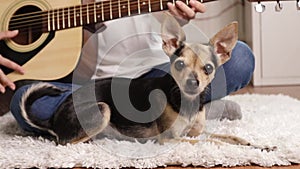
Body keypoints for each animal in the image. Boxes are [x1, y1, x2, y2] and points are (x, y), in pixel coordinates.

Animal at [17, 13, 274, 150]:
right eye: (179, 65)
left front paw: (259, 146)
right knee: (65, 142)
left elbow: (228, 137)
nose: (193, 83)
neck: (187, 101)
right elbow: (211, 144)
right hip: (102, 109)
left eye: (208, 68)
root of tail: (53, 116)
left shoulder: (194, 133)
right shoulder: (170, 139)